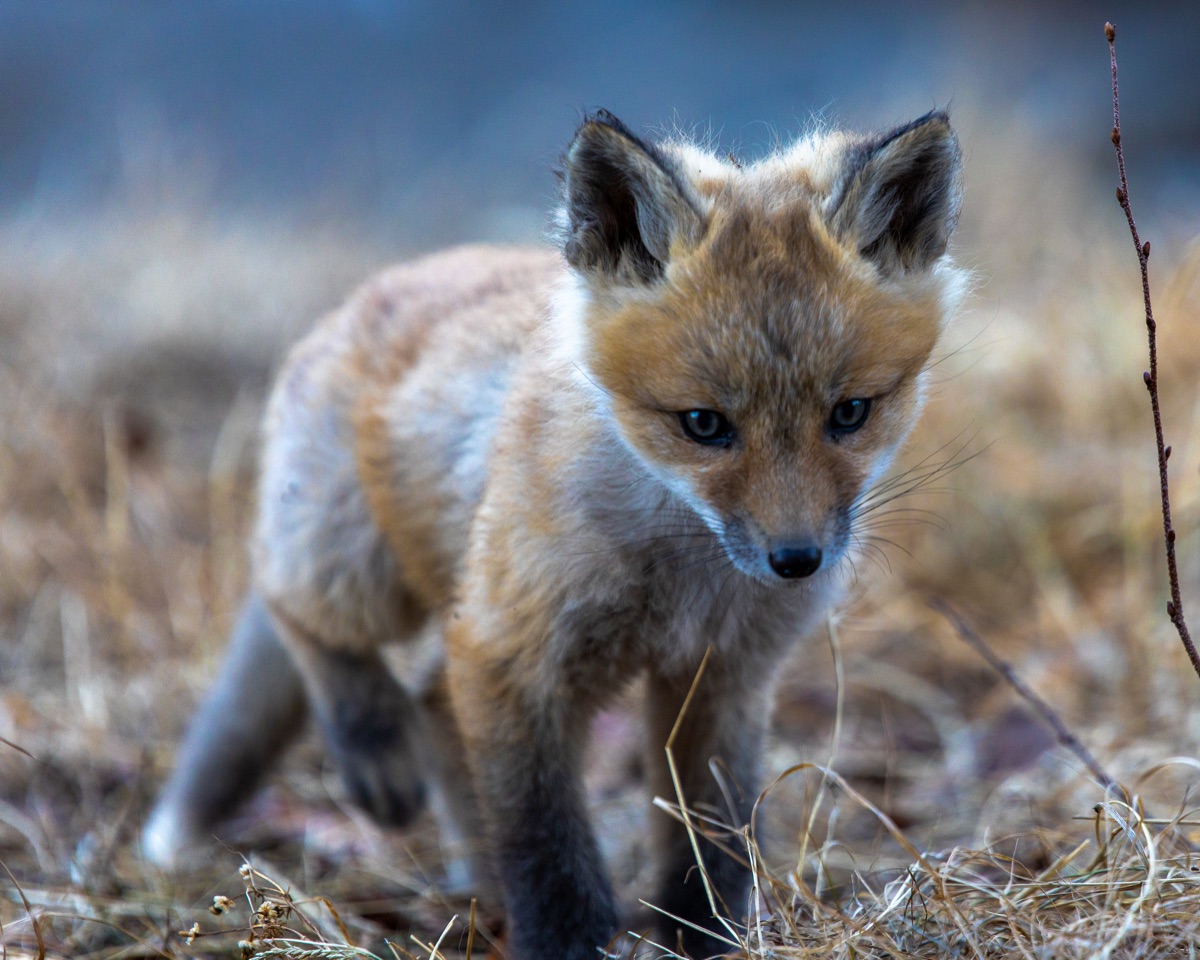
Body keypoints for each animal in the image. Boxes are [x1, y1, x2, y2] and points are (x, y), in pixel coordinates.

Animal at [143, 109, 965, 960]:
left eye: (850, 413)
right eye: (704, 425)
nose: (796, 560)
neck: (681, 573)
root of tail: (364, 294)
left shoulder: (725, 677)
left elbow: (711, 838)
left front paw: (708, 939)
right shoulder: (511, 654)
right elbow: (547, 844)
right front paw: (566, 939)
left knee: (432, 700)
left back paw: (478, 882)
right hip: (358, 565)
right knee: (295, 605)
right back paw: (369, 744)